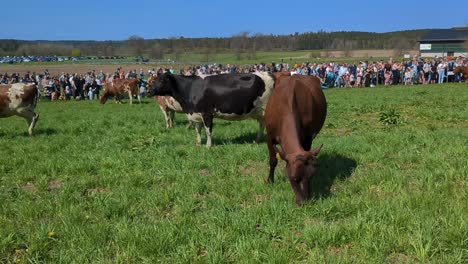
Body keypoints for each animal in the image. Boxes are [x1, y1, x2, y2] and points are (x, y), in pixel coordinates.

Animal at [266, 73, 328, 205]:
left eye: (312, 176)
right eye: (294, 178)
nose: (305, 202)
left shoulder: (308, 136)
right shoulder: (269, 135)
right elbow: (273, 161)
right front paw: (270, 181)